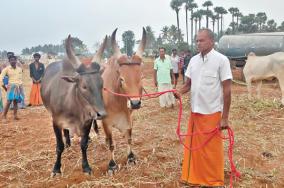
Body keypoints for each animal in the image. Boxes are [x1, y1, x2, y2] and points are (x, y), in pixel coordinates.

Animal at [101, 27, 146, 174]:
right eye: (121, 79)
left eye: (141, 77)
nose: (135, 103)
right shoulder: (106, 122)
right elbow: (111, 143)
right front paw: (112, 165)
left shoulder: (129, 118)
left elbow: (129, 138)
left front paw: (131, 158)